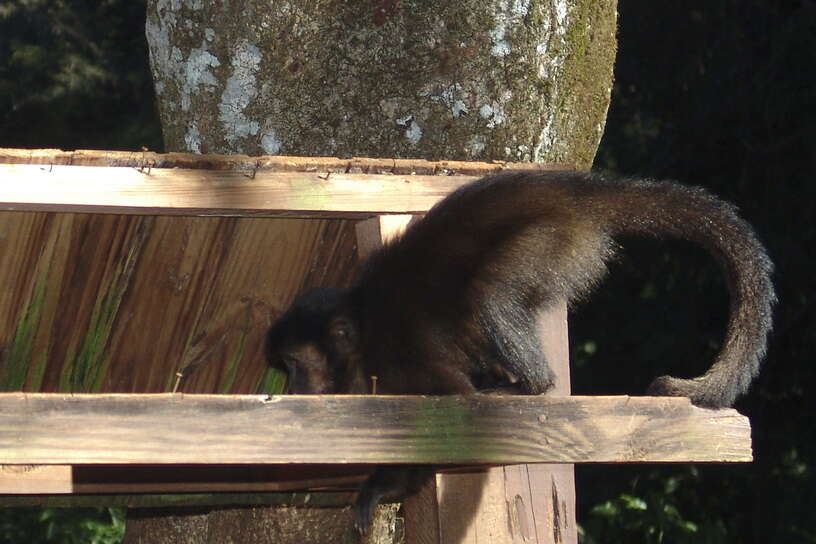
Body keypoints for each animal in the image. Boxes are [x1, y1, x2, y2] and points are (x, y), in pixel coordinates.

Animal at [266, 171, 776, 536]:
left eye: (296, 365)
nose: (292, 387)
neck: (364, 339)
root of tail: (574, 191)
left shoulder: (402, 357)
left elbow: (446, 421)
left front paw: (377, 488)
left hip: (550, 239)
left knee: (489, 294)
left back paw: (527, 386)